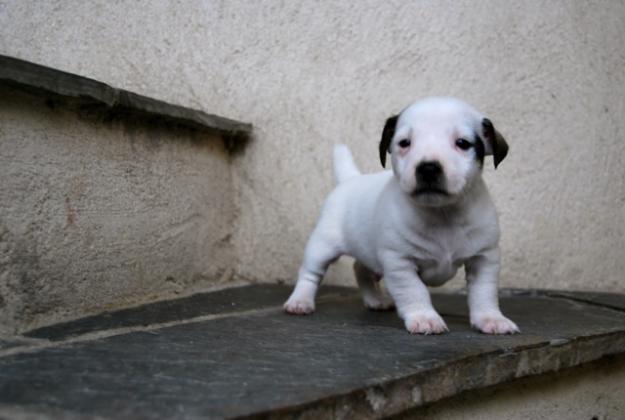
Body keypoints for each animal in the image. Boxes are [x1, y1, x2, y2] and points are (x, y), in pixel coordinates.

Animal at [282, 96, 516, 334]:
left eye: (463, 143)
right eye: (404, 143)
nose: (428, 168)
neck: (442, 213)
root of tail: (351, 179)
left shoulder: (484, 259)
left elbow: (484, 293)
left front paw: (491, 319)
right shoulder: (400, 262)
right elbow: (414, 290)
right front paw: (424, 317)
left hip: (366, 250)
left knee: (361, 269)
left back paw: (375, 300)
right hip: (322, 245)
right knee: (311, 273)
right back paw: (300, 301)